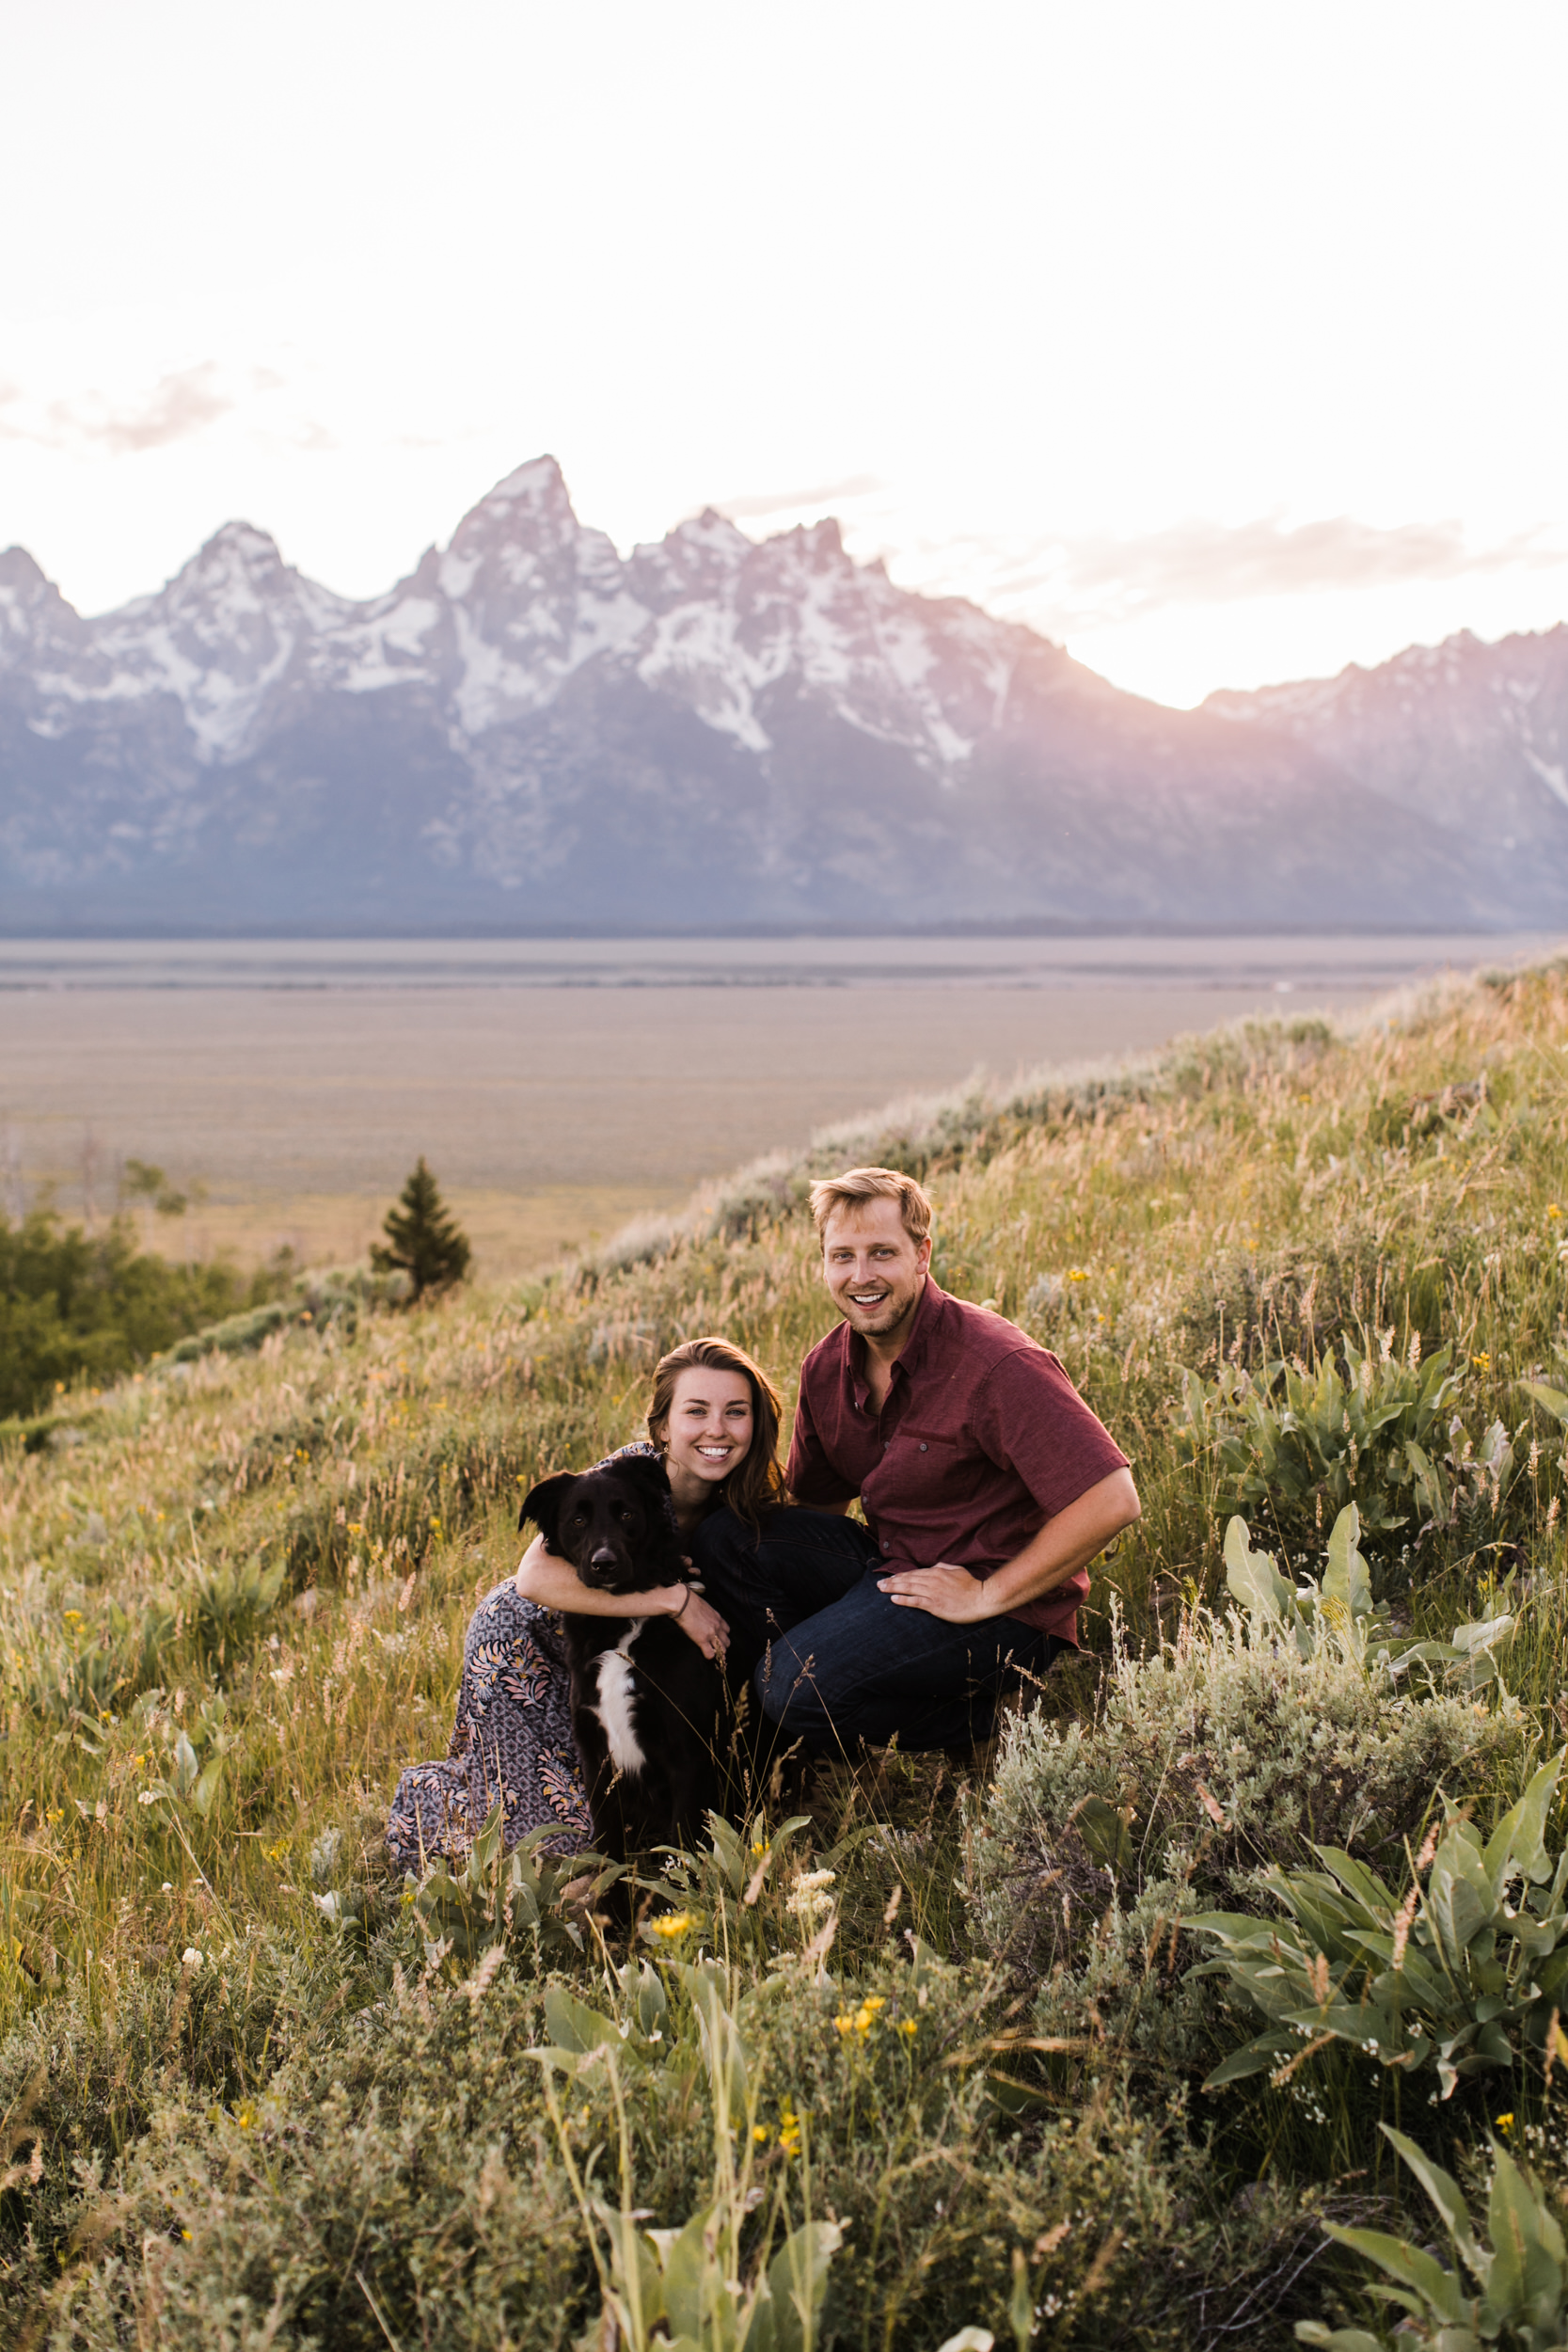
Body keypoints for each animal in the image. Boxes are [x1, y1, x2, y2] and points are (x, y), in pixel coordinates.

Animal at [521, 1449, 728, 1872]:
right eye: (578, 1520)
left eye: (627, 1514)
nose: (604, 1564)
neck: (622, 1624)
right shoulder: (596, 1758)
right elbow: (609, 1853)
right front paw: (609, 1894)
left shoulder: (689, 1755)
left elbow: (681, 1853)